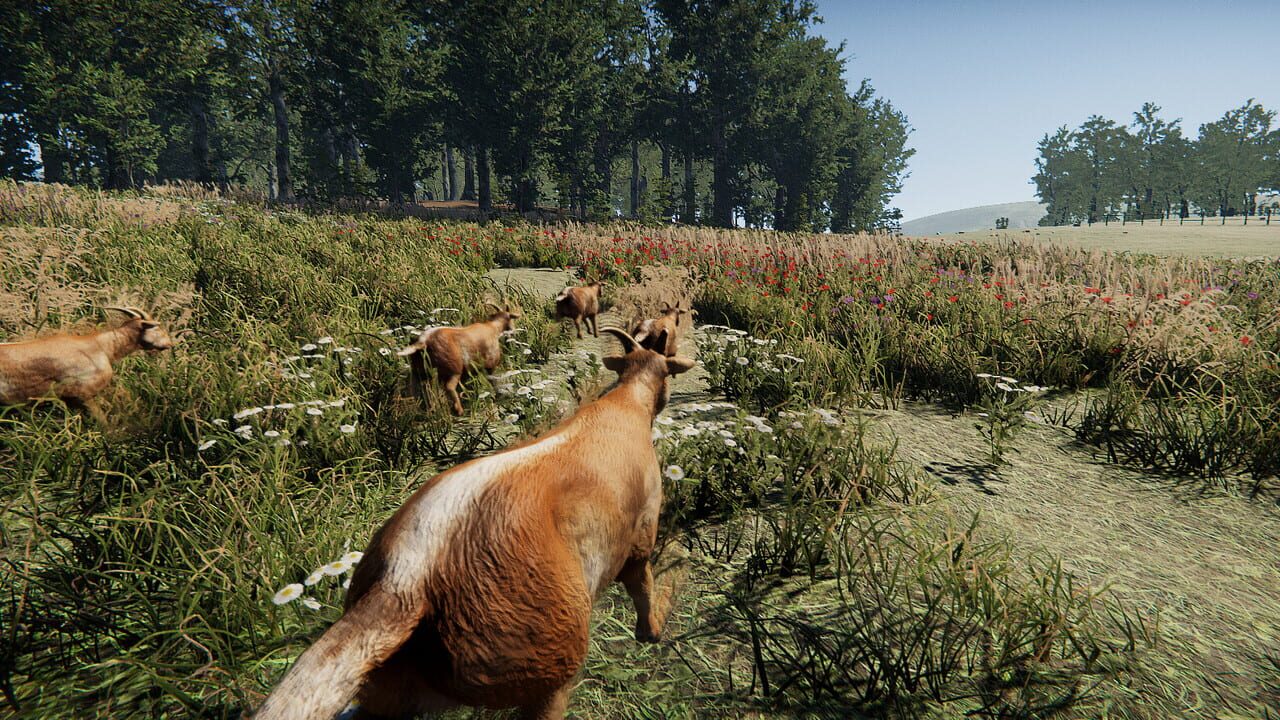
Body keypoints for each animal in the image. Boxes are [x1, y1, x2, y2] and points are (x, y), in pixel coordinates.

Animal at [255, 327, 695, 720]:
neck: (627, 401)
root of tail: (405, 579)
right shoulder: (643, 528)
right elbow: (641, 582)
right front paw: (651, 634)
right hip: (547, 657)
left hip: (388, 690)